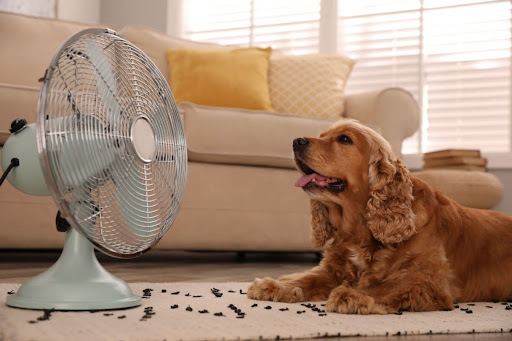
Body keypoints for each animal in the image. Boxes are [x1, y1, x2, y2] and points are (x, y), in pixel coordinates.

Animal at [248, 118, 512, 312]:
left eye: (344, 139)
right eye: (322, 135)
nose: (296, 141)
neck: (359, 230)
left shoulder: (427, 279)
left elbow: (386, 287)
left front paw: (351, 295)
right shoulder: (333, 270)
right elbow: (307, 277)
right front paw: (276, 285)